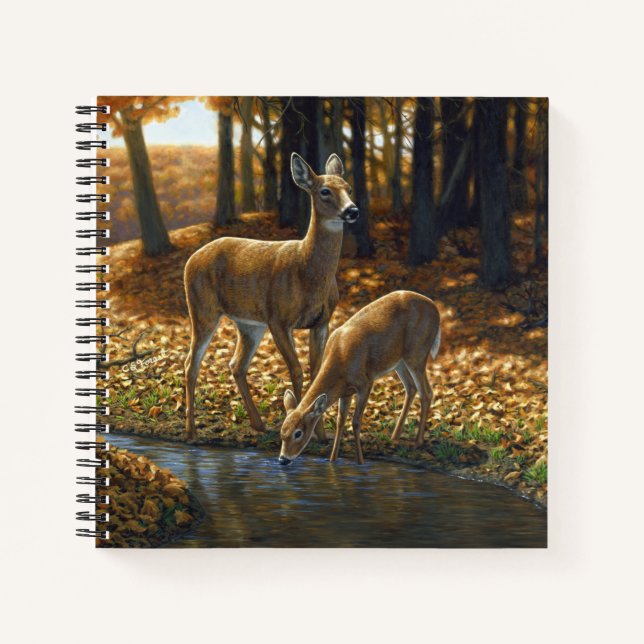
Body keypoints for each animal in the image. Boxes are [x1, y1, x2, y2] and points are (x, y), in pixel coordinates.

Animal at [183, 152, 359, 439]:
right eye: (324, 191)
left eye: (349, 188)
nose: (352, 210)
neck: (308, 273)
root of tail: (190, 259)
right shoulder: (279, 319)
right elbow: (297, 371)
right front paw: (304, 430)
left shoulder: (322, 321)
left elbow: (316, 373)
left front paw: (321, 435)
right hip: (202, 309)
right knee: (191, 363)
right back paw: (191, 432)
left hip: (249, 324)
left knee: (236, 364)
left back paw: (258, 424)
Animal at [278, 290, 441, 465]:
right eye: (282, 432)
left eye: (298, 433)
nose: (282, 459)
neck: (340, 359)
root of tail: (436, 309)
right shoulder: (345, 391)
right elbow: (340, 421)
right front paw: (332, 460)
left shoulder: (365, 382)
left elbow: (356, 422)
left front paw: (361, 461)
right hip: (399, 361)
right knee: (411, 387)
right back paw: (395, 436)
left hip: (417, 353)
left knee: (426, 392)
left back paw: (418, 442)